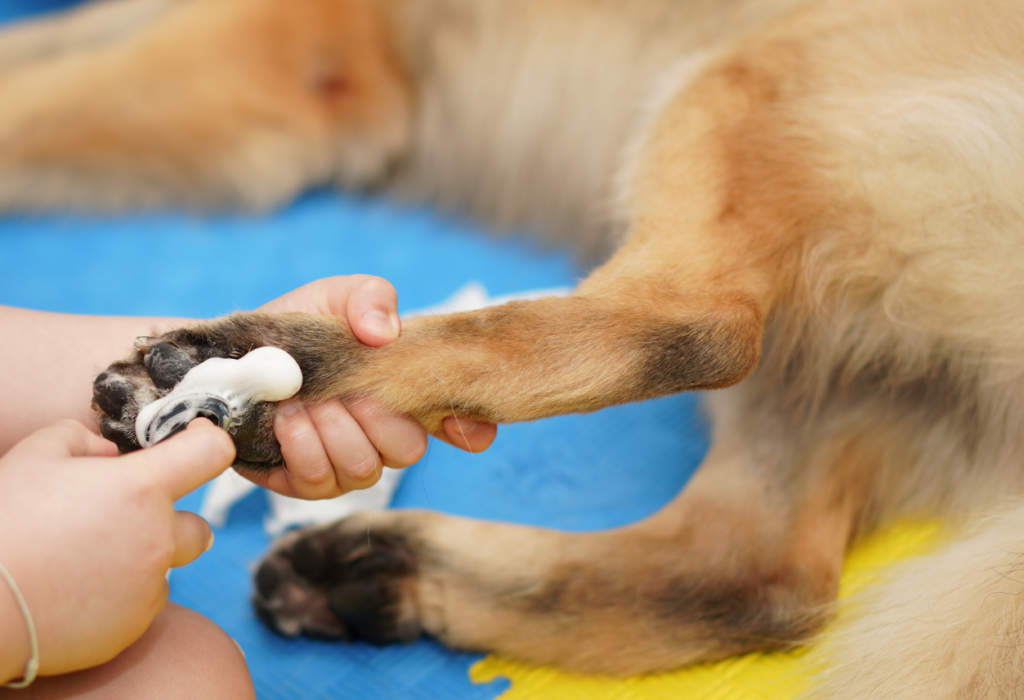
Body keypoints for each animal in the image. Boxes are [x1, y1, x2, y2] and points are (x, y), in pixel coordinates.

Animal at [6, 0, 1024, 695]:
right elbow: (41, 50)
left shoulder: (272, 46)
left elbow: (30, 91)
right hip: (825, 363)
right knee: (755, 576)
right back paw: (378, 572)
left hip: (741, 79)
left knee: (693, 324)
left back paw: (261, 379)